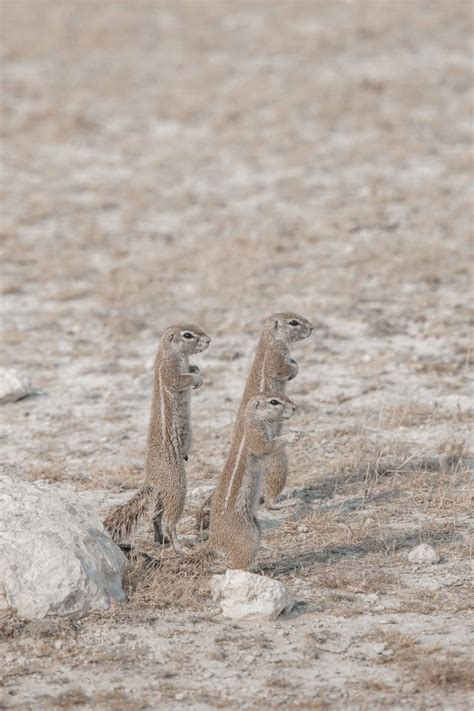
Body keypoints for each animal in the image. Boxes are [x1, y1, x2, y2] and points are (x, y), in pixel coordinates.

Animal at [106, 326, 212, 552]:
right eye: (188, 335)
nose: (209, 340)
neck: (169, 352)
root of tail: (151, 479)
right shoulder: (171, 372)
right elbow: (181, 380)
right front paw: (196, 379)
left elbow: (193, 368)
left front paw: (197, 370)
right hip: (177, 484)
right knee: (170, 521)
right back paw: (178, 546)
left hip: (162, 496)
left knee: (155, 517)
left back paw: (161, 540)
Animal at [208, 392, 296, 572]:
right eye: (274, 402)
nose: (295, 408)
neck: (252, 417)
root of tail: (215, 540)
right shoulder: (256, 435)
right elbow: (266, 447)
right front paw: (292, 435)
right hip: (248, 536)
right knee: (237, 563)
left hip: (256, 526)